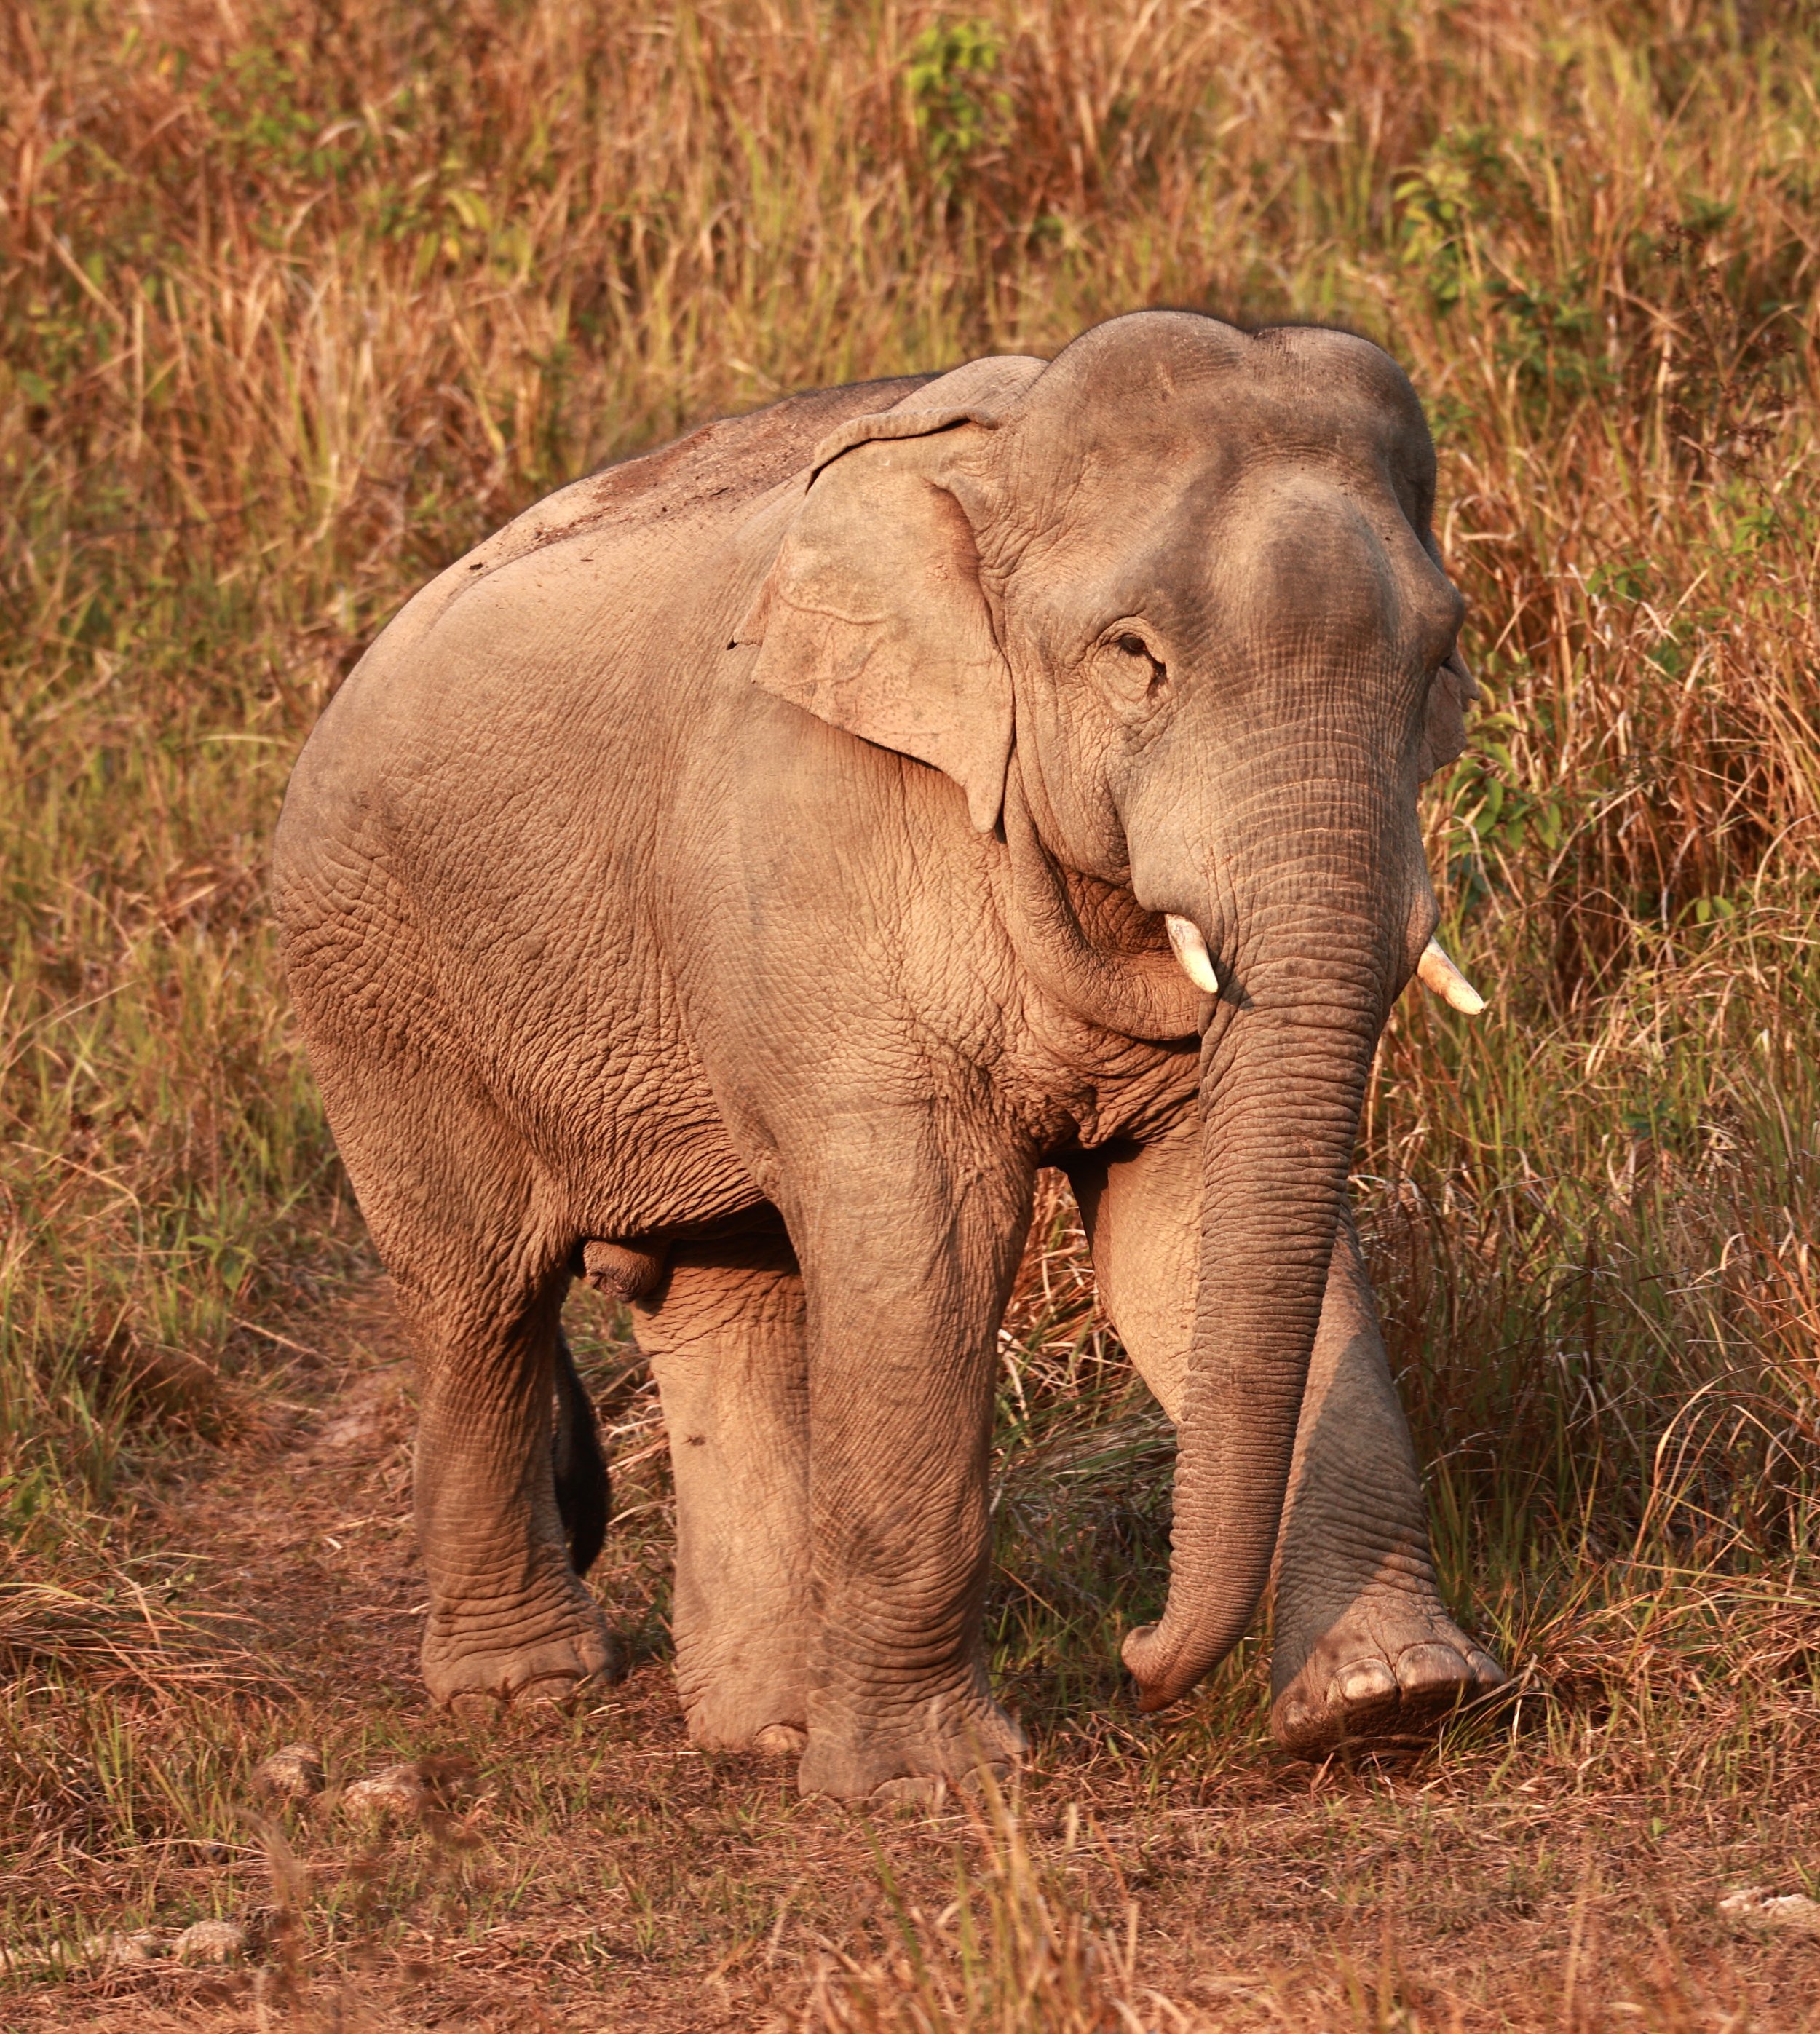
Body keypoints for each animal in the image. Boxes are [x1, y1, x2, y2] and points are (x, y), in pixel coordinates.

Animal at [272, 310, 1505, 1800]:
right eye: (1134, 654)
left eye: (1440, 655)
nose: (1139, 1660)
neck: (997, 467)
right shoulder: (821, 841)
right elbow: (925, 1244)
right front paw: (928, 1787)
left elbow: (1191, 1230)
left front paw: (1391, 1700)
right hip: (376, 981)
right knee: (478, 1296)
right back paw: (529, 1692)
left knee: (726, 1295)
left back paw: (764, 1725)